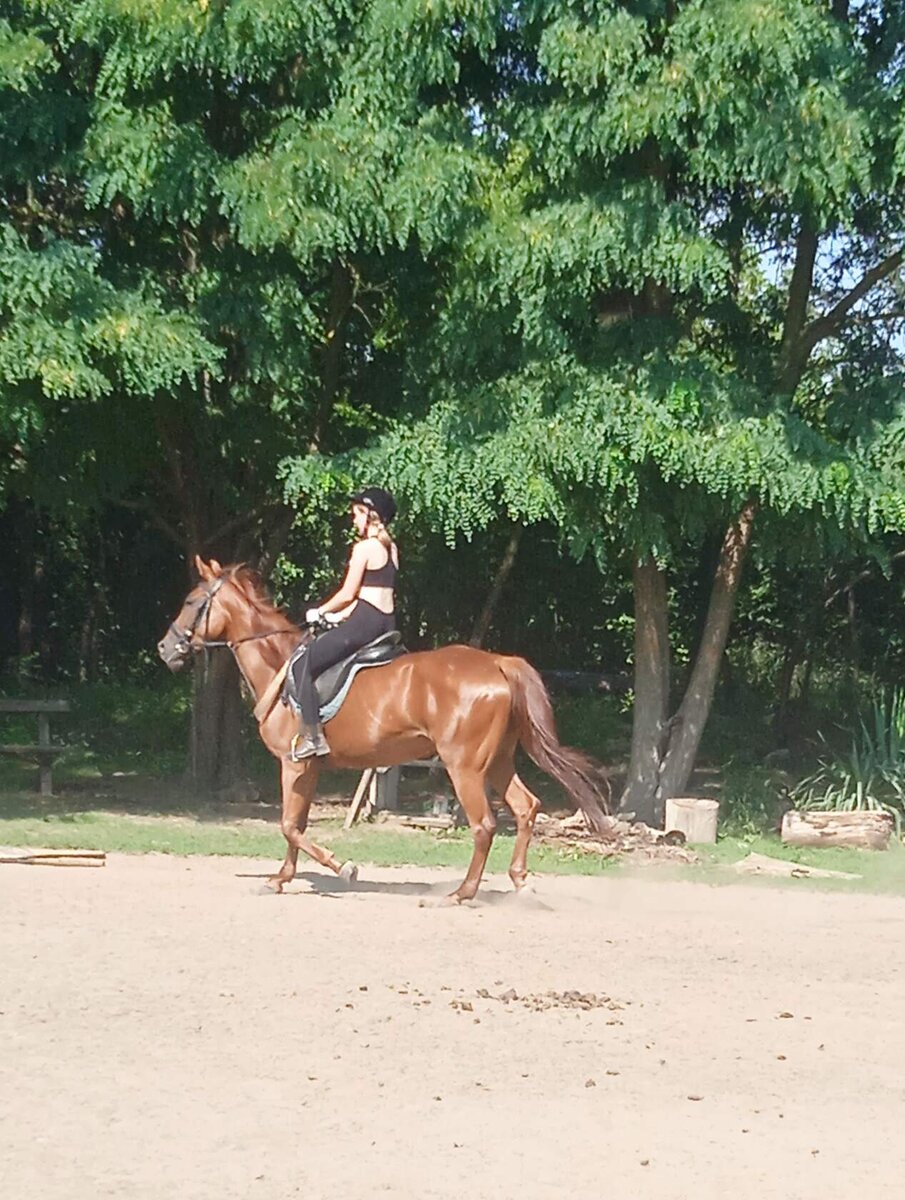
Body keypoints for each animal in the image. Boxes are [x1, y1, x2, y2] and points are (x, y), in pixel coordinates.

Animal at [158, 554, 609, 902]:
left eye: (192, 600)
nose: (164, 649)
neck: (279, 665)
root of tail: (499, 662)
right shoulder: (309, 767)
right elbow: (296, 825)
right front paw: (282, 879)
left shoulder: (293, 763)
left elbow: (288, 824)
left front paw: (343, 867)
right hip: (497, 760)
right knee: (526, 807)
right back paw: (519, 882)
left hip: (464, 766)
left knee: (485, 825)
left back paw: (462, 893)